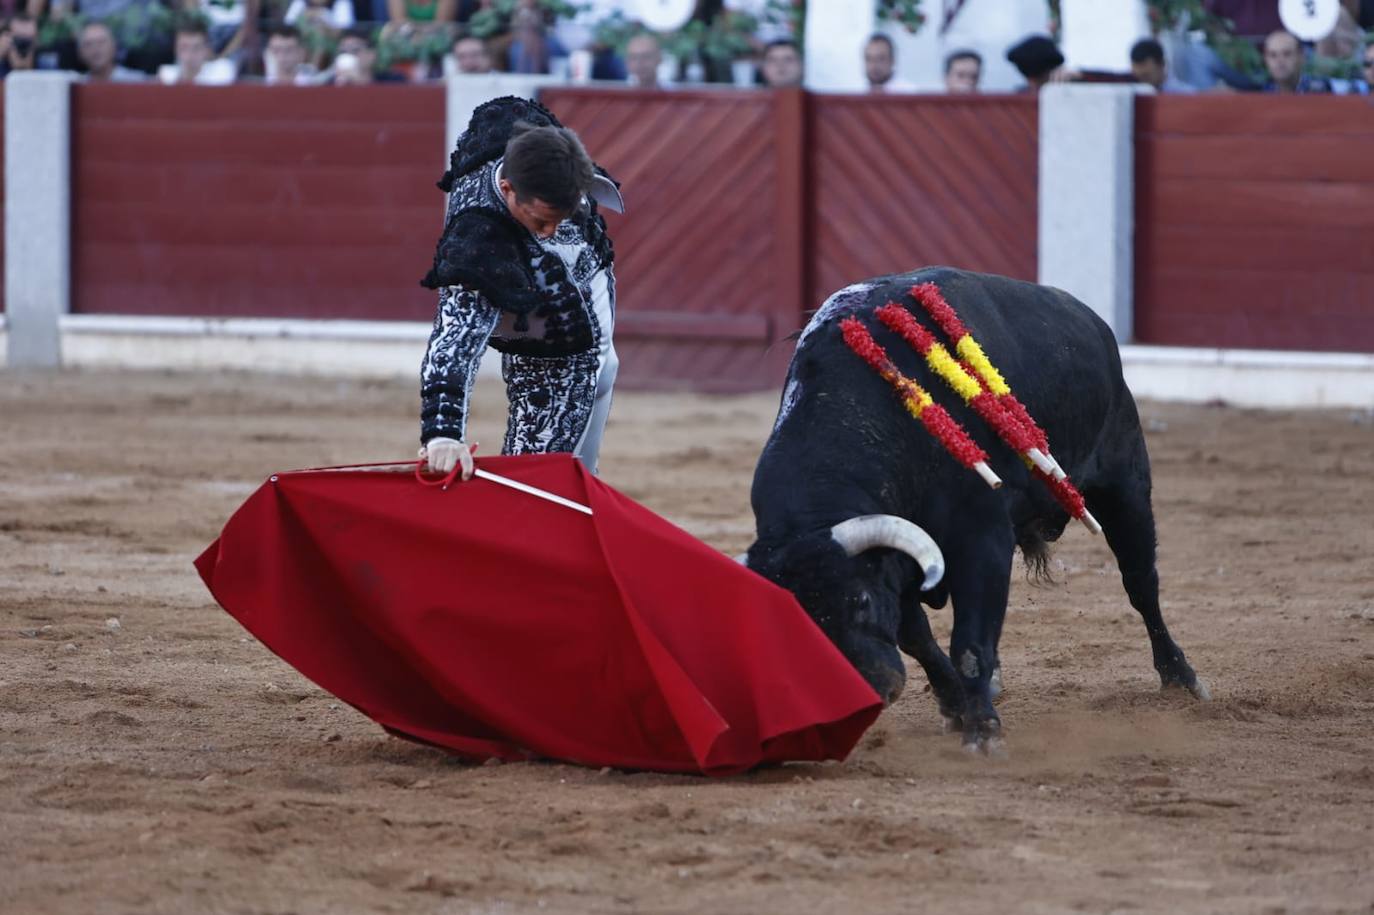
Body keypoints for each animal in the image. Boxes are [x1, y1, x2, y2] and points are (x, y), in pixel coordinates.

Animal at [747, 267, 1209, 752]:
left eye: (860, 600)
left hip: (1126, 484)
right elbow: (919, 638)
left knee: (1141, 584)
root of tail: (1091, 321)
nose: (874, 691)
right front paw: (956, 705)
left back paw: (1181, 678)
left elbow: (968, 642)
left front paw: (983, 729)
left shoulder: (980, 536)